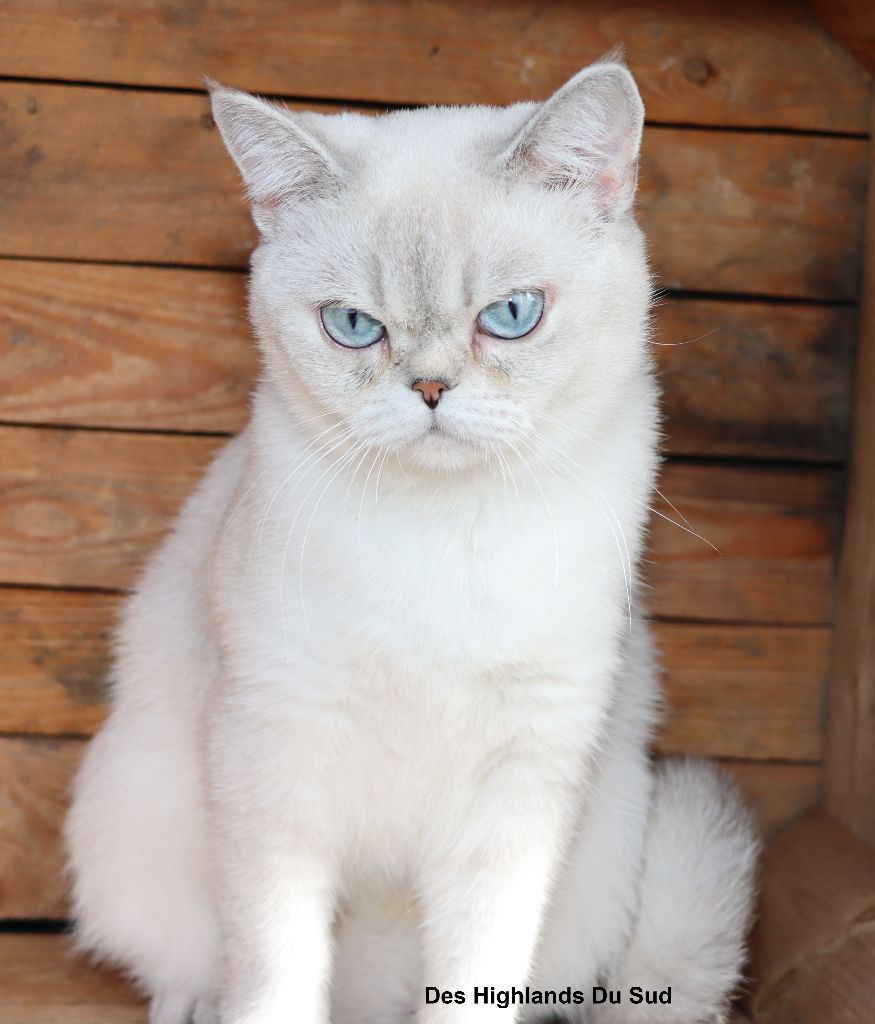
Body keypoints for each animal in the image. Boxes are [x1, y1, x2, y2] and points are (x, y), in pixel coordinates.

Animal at [63, 58, 762, 1024]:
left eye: (511, 314)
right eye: (354, 326)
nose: (430, 389)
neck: (440, 537)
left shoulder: (519, 783)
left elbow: (473, 977)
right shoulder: (274, 749)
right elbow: (276, 969)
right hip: (131, 816)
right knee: (193, 967)